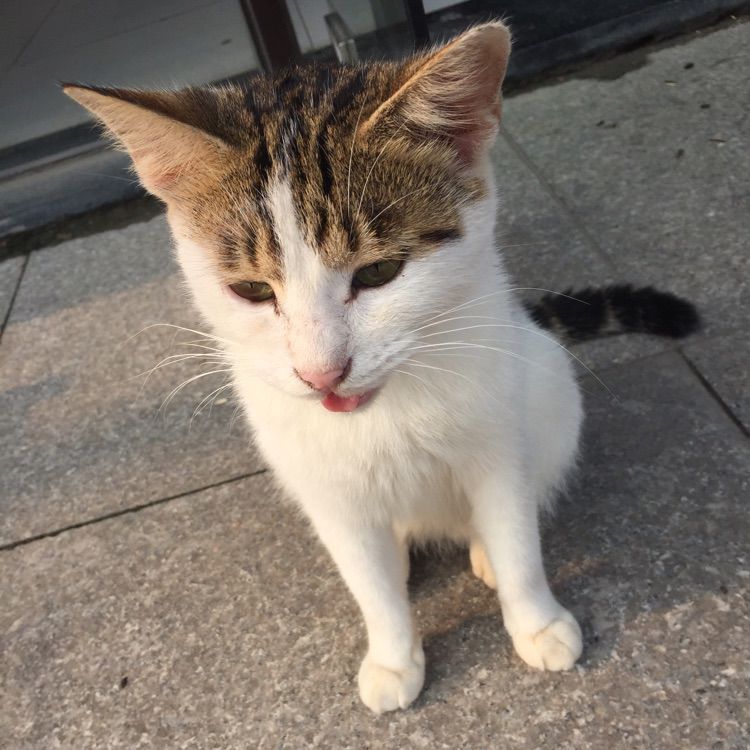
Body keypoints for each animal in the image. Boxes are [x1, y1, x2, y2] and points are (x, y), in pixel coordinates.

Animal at [65, 22, 698, 713]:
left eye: (379, 273)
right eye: (252, 290)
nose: (321, 374)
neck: (386, 412)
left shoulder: (499, 442)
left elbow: (517, 536)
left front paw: (536, 620)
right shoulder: (323, 485)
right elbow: (369, 586)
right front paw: (395, 658)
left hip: (550, 388)